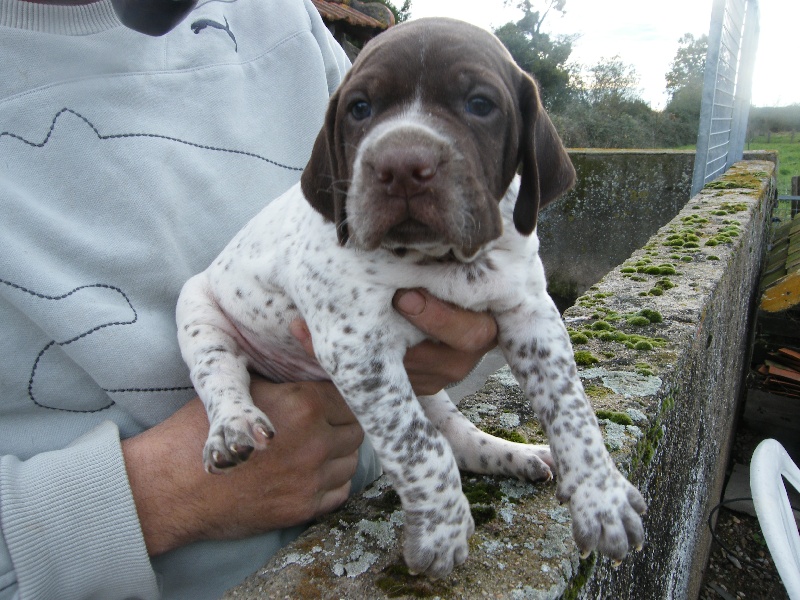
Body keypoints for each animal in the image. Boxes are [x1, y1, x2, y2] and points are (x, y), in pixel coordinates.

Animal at [178, 17, 648, 576]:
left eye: (480, 103)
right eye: (360, 108)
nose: (401, 166)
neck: (444, 261)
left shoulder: (533, 316)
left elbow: (573, 408)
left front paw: (603, 498)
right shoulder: (359, 350)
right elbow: (415, 444)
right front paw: (441, 531)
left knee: (455, 430)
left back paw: (513, 455)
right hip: (197, 307)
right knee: (219, 370)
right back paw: (233, 428)